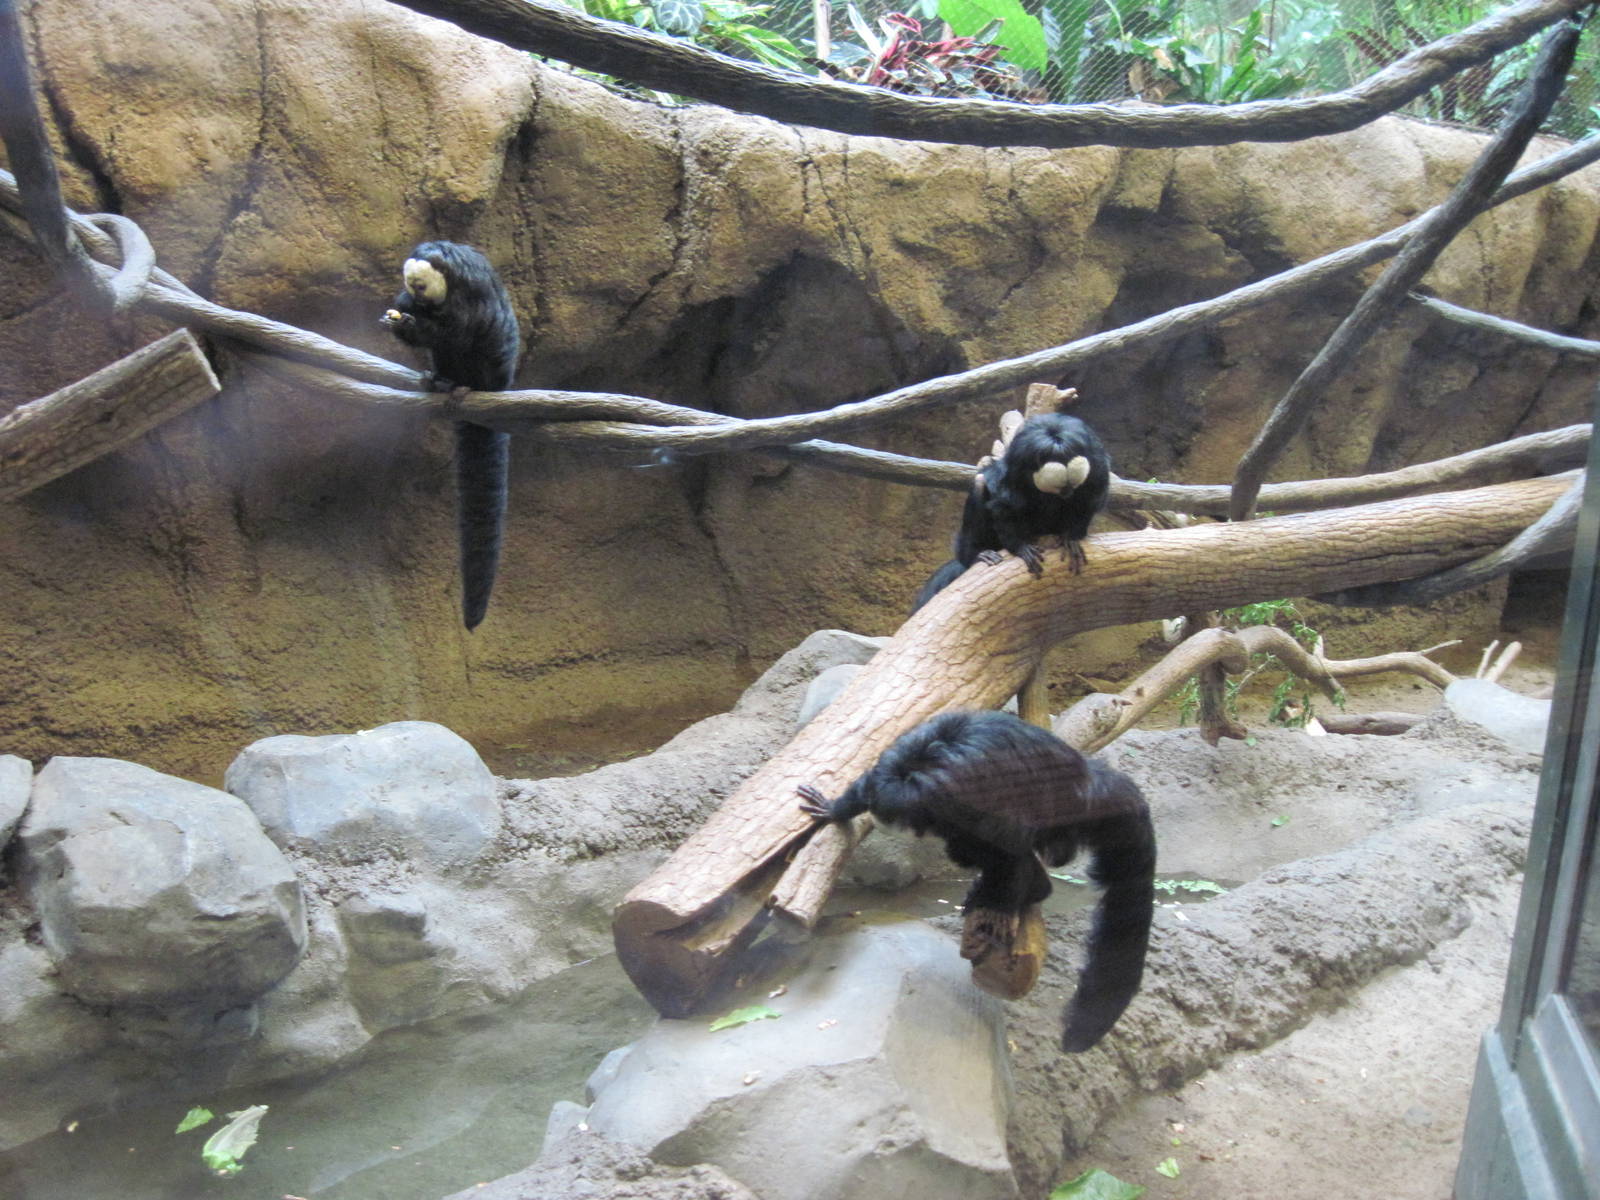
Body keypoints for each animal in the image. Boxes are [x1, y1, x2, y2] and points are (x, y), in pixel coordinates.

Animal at [381, 240, 520, 631]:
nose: (418, 299)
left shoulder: (467, 292)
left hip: (491, 371)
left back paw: (464, 386)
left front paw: (409, 325)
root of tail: (500, 386)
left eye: (422, 286)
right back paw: (439, 380)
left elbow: (458, 330)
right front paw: (400, 314)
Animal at [798, 709, 1156, 1052]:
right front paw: (835, 809)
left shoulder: (963, 796)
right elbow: (864, 785)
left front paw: (1003, 906)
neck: (921, 767)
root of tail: (1089, 785)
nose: (890, 823)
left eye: (900, 819)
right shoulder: (890, 768)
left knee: (986, 843)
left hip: (1058, 826)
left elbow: (1009, 839)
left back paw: (1029, 889)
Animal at [913, 412, 1112, 612]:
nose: (1068, 493)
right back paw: (977, 554)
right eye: (1062, 487)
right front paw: (1019, 546)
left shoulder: (1095, 462)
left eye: (1072, 486)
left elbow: (1091, 497)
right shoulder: (1019, 460)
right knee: (980, 483)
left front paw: (1071, 538)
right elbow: (1005, 502)